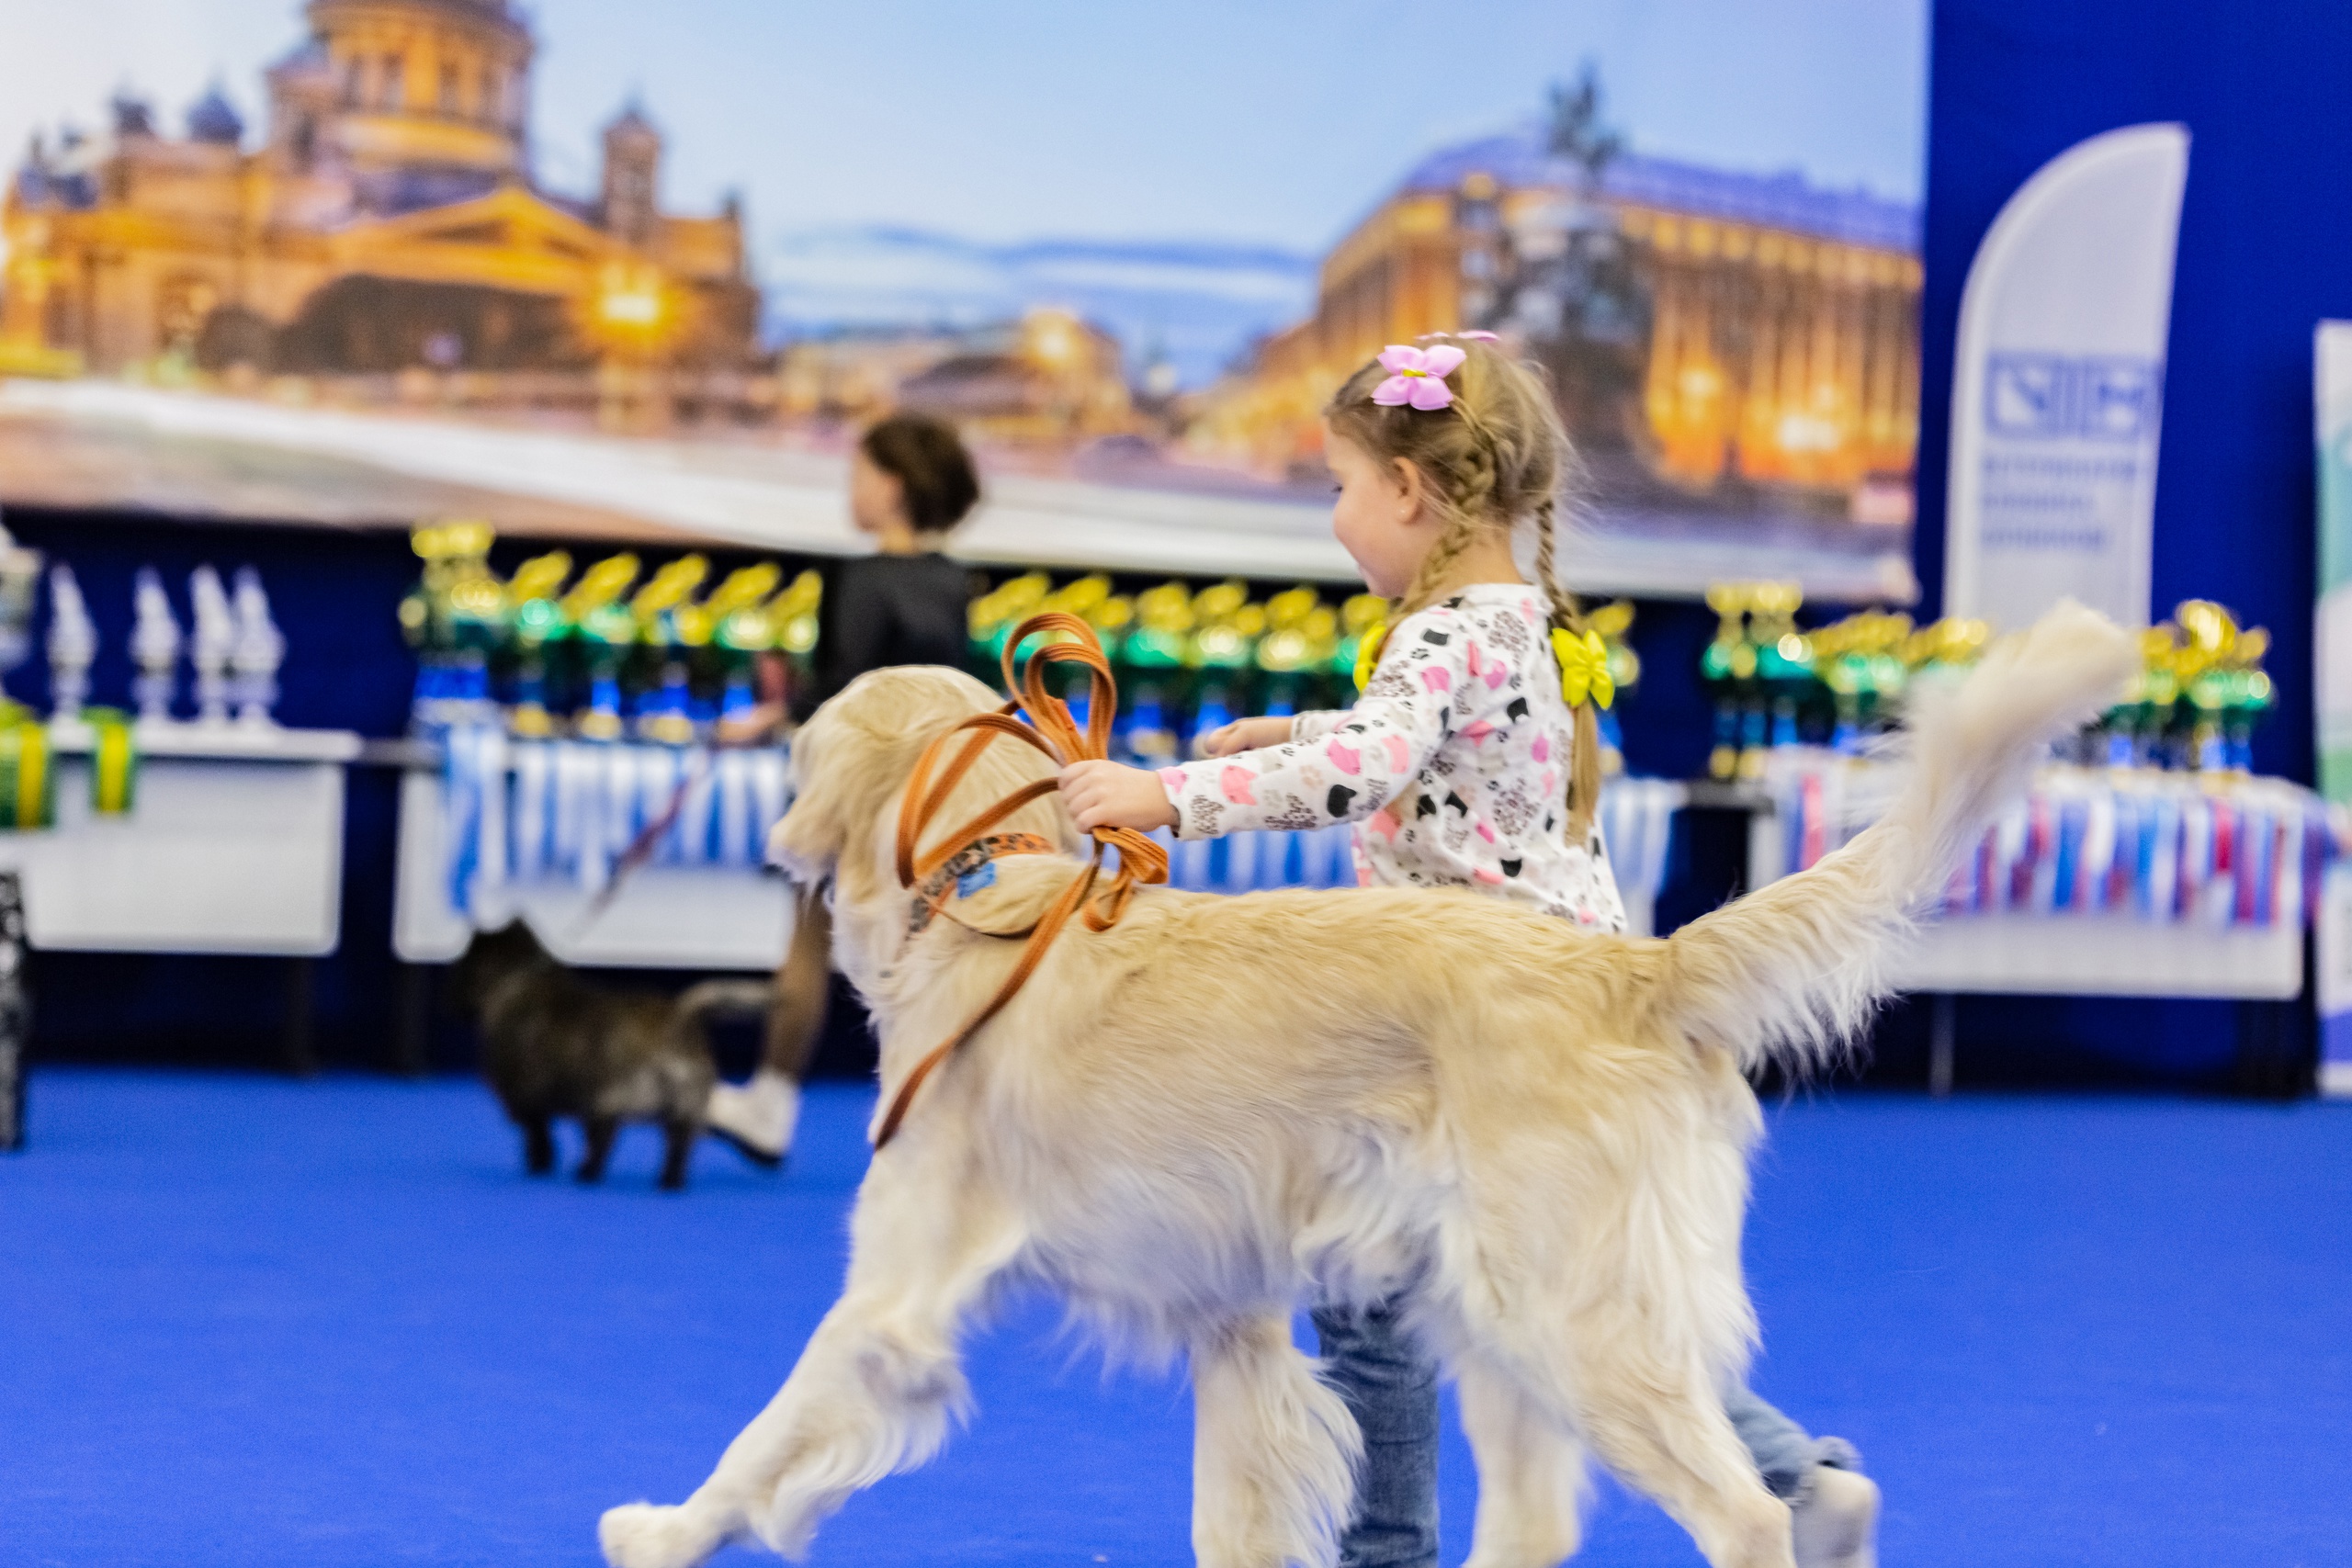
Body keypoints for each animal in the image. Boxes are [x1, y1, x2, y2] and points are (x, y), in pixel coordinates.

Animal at [447, 921, 762, 1189]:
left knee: (602, 1141)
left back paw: (585, 1174)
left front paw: (538, 1167)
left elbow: (539, 1138)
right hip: (685, 1110)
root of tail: (677, 1023)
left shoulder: (525, 1098)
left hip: (607, 1101)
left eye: (462, 967)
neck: (516, 978)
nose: (451, 1001)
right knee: (677, 1148)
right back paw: (668, 1183)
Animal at [597, 606, 2144, 1568]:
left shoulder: (894, 1294)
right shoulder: (1234, 1326)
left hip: (1568, 1314)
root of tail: (1633, 966)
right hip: (1493, 1318)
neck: (993, 895)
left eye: (805, 746)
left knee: (1741, 1513)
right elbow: (1235, 1518)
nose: (771, 814)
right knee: (1544, 1520)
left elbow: (763, 1436)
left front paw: (662, 1529)